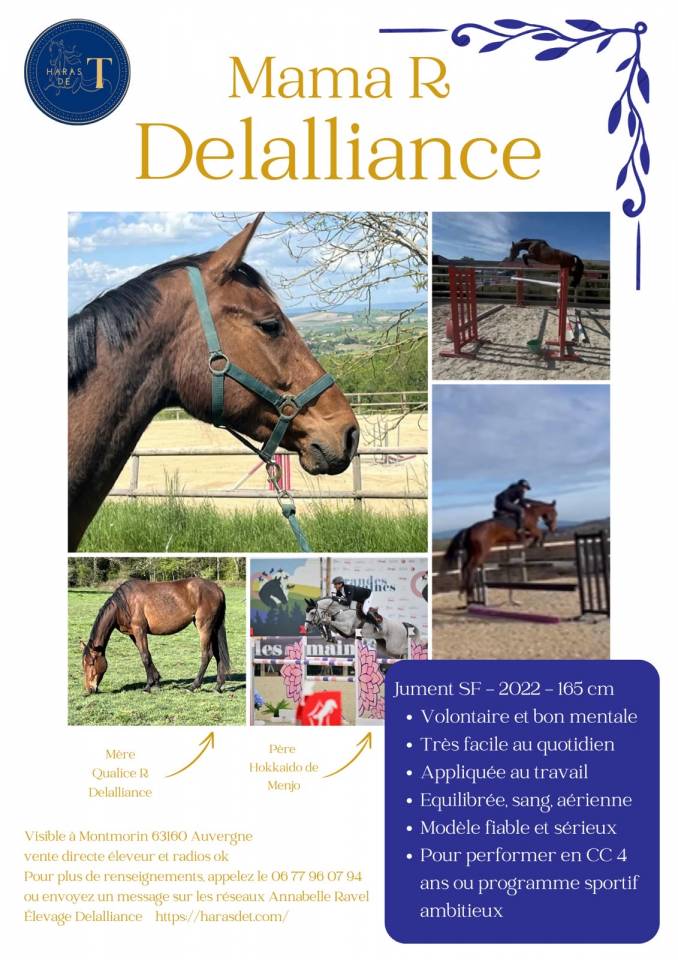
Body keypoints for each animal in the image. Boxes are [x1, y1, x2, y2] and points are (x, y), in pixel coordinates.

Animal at [80, 577, 230, 694]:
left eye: (91, 663)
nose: (89, 689)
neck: (125, 603)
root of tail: (217, 588)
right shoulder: (133, 634)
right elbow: (147, 655)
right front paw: (157, 681)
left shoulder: (139, 630)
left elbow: (145, 656)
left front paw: (148, 686)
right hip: (213, 628)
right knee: (218, 655)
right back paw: (218, 686)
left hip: (204, 627)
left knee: (207, 655)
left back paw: (193, 686)